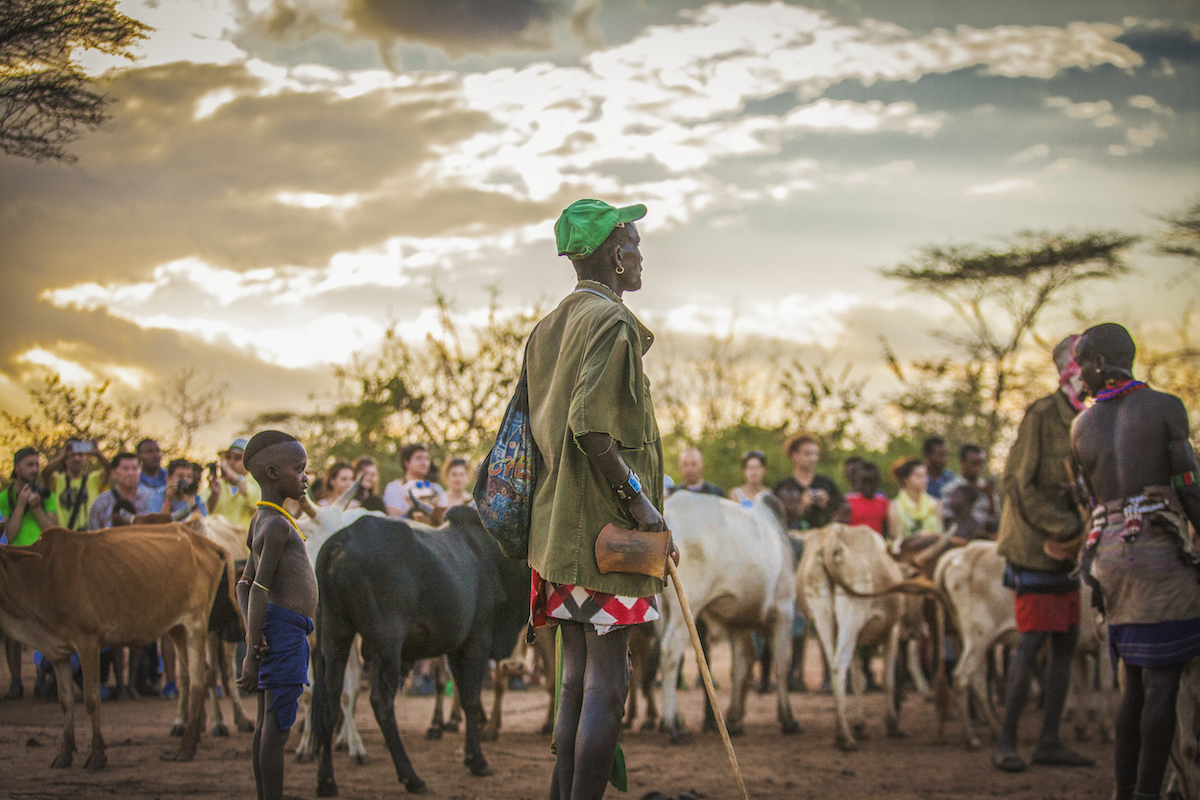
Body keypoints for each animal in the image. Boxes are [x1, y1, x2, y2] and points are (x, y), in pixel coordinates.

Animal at [0, 525, 230, 767]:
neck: (38, 575)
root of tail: (206, 543)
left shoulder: (88, 641)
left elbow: (91, 699)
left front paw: (97, 755)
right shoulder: (58, 653)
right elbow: (66, 701)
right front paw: (64, 753)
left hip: (196, 623)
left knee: (197, 680)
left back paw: (186, 747)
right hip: (177, 629)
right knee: (206, 673)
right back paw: (194, 739)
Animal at [314, 506, 530, 796]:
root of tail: (342, 541)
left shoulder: (456, 647)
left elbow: (464, 698)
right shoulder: (478, 641)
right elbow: (471, 699)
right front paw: (477, 760)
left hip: (335, 634)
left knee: (329, 700)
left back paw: (326, 780)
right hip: (387, 643)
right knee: (381, 702)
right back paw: (411, 777)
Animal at [657, 494, 796, 743]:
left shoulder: (737, 623)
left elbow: (741, 665)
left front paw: (734, 718)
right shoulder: (784, 609)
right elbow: (781, 664)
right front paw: (788, 719)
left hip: (664, 608)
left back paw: (670, 722)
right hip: (687, 606)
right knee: (670, 651)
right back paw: (674, 726)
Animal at [796, 525, 945, 753]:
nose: (920, 630)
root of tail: (833, 540)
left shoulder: (857, 641)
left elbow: (859, 680)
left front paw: (859, 725)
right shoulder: (892, 632)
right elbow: (889, 680)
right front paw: (892, 724)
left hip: (823, 618)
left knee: (834, 664)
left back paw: (841, 731)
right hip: (852, 614)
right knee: (838, 667)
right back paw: (846, 739)